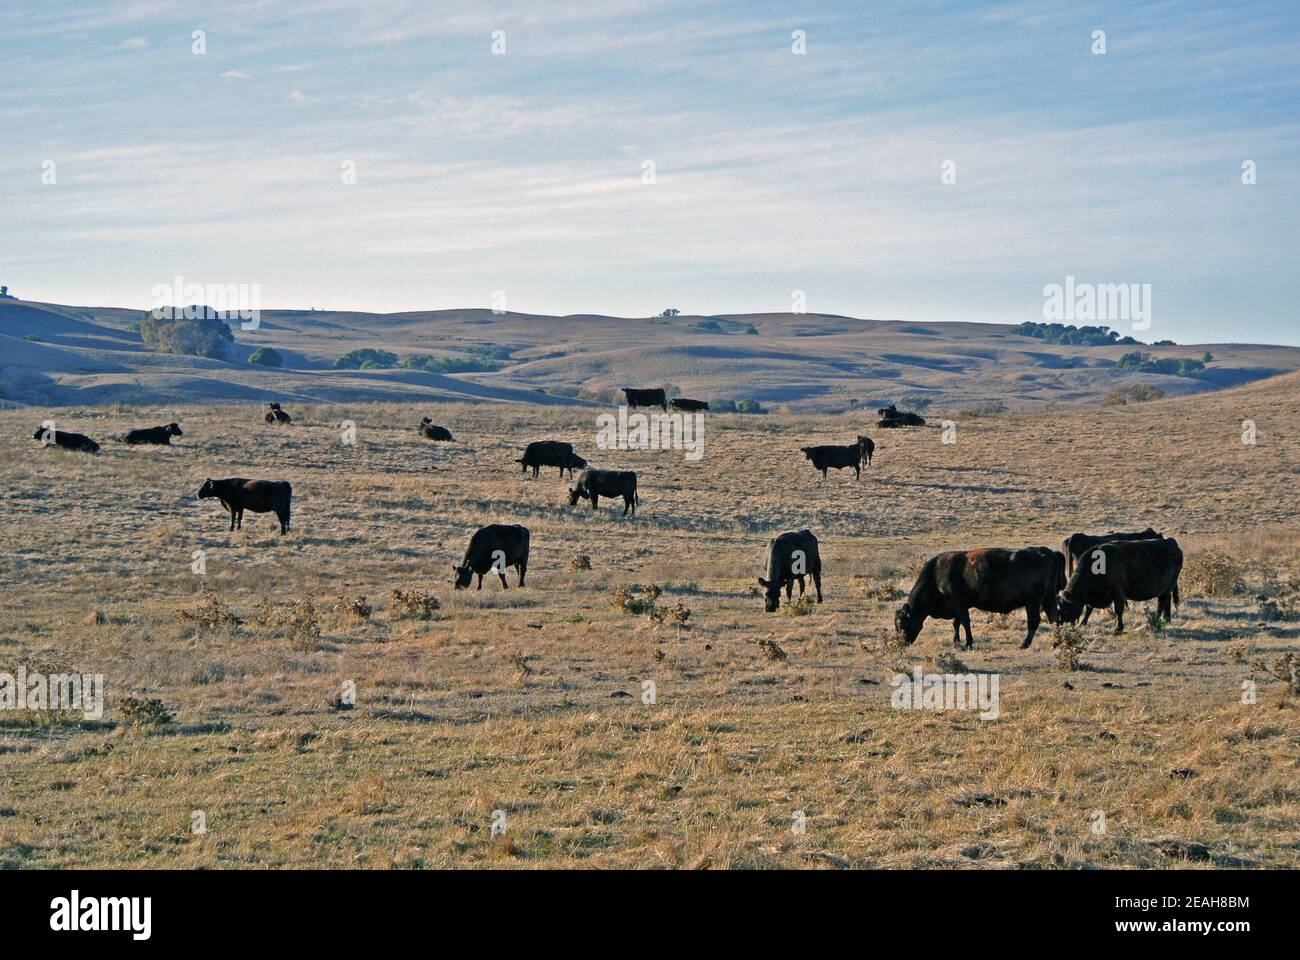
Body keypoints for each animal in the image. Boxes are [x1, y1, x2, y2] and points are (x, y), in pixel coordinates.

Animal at [894, 541, 1066, 647]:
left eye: (901, 623)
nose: (901, 643)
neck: (937, 574)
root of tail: (1046, 552)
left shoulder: (960, 604)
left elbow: (964, 622)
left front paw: (968, 643)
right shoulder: (960, 606)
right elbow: (957, 623)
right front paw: (956, 641)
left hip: (1033, 601)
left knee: (1034, 621)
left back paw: (1024, 645)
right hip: (1048, 598)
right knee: (1054, 617)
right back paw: (1056, 642)